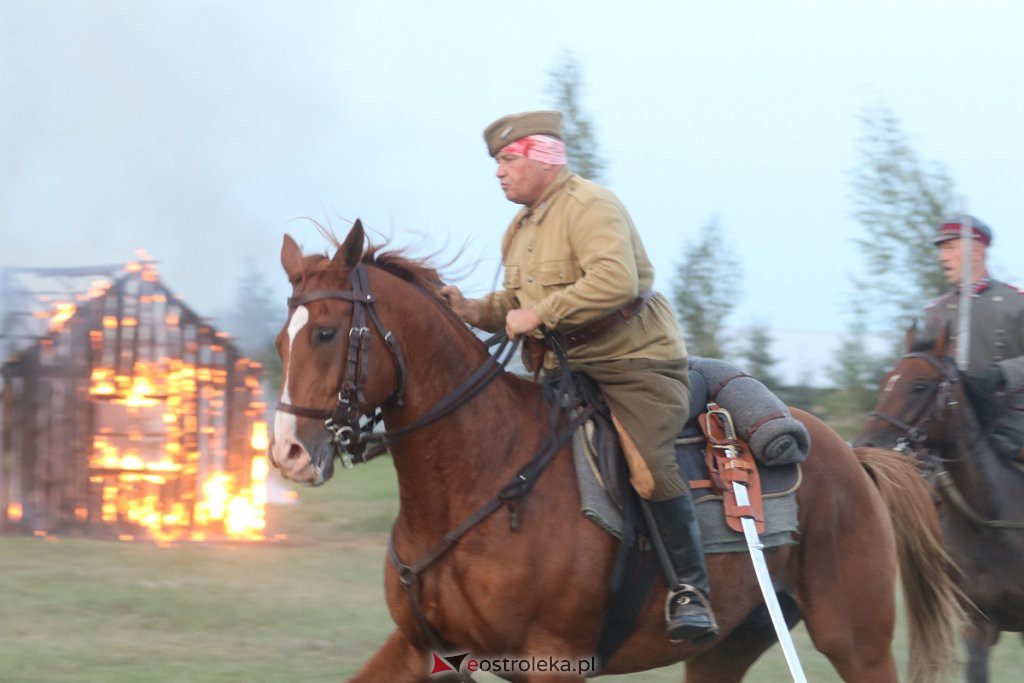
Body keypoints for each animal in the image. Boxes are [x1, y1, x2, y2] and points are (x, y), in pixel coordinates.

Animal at [268, 222, 962, 679]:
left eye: (326, 332)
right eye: (281, 339)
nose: (288, 454)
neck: (481, 475)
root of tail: (854, 461)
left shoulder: (553, 660)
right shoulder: (417, 646)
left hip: (857, 641)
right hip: (727, 648)